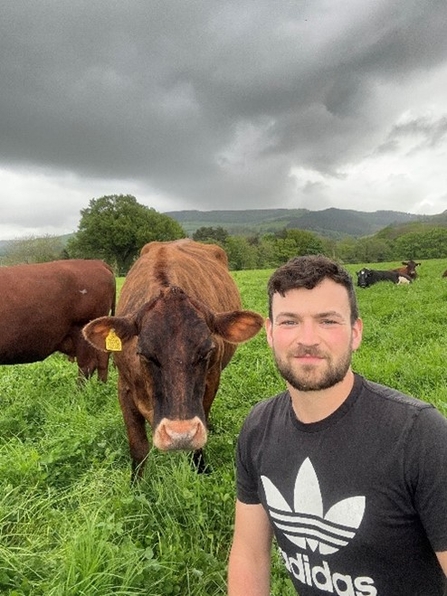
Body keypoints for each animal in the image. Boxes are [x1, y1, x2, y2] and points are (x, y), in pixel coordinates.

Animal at [82, 240, 264, 478]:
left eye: (207, 351)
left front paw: (201, 468)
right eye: (143, 353)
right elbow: (138, 446)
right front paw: (136, 483)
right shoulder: (124, 388)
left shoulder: (212, 380)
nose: (180, 434)